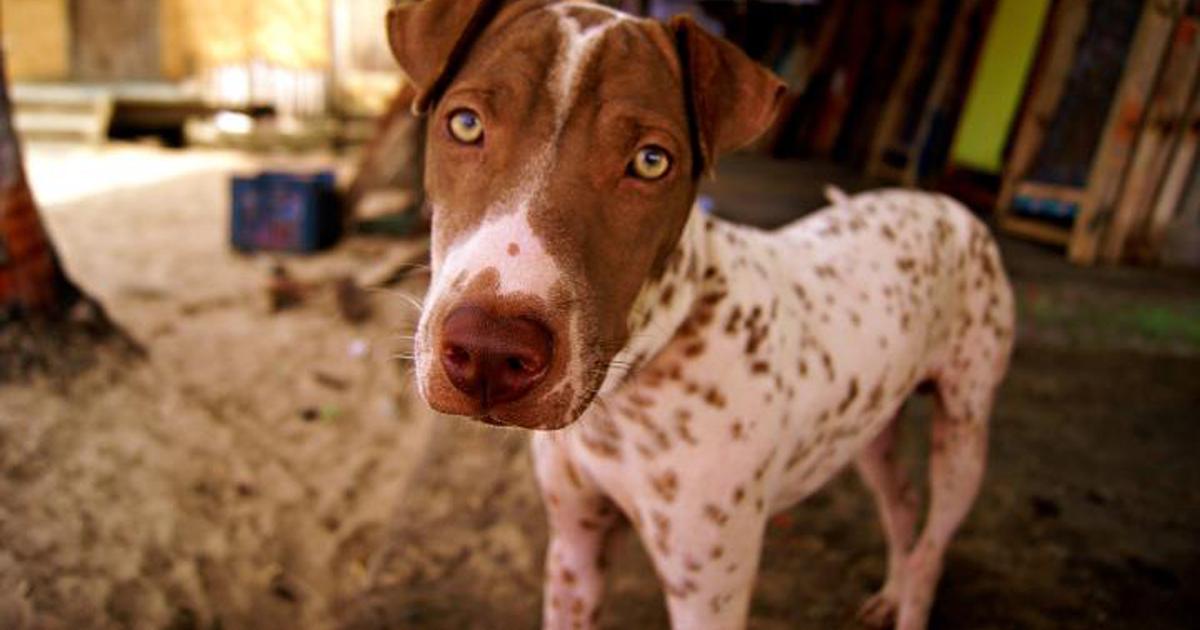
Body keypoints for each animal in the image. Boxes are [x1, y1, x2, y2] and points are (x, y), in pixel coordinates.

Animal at [391, 2, 1012, 624]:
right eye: (465, 124)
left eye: (651, 161)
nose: (489, 353)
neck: (624, 399)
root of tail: (945, 203)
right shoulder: (574, 548)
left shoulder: (708, 592)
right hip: (873, 428)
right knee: (903, 506)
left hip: (964, 433)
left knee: (933, 545)